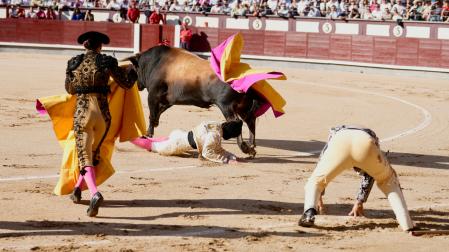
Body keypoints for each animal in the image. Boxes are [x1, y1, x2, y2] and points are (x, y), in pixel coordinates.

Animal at [124, 45, 260, 156]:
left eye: (134, 69)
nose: (136, 85)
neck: (155, 63)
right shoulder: (170, 99)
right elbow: (159, 112)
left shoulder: (153, 95)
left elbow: (152, 115)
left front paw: (148, 134)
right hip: (242, 107)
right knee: (250, 121)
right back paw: (251, 147)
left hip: (226, 106)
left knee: (238, 122)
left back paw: (245, 148)